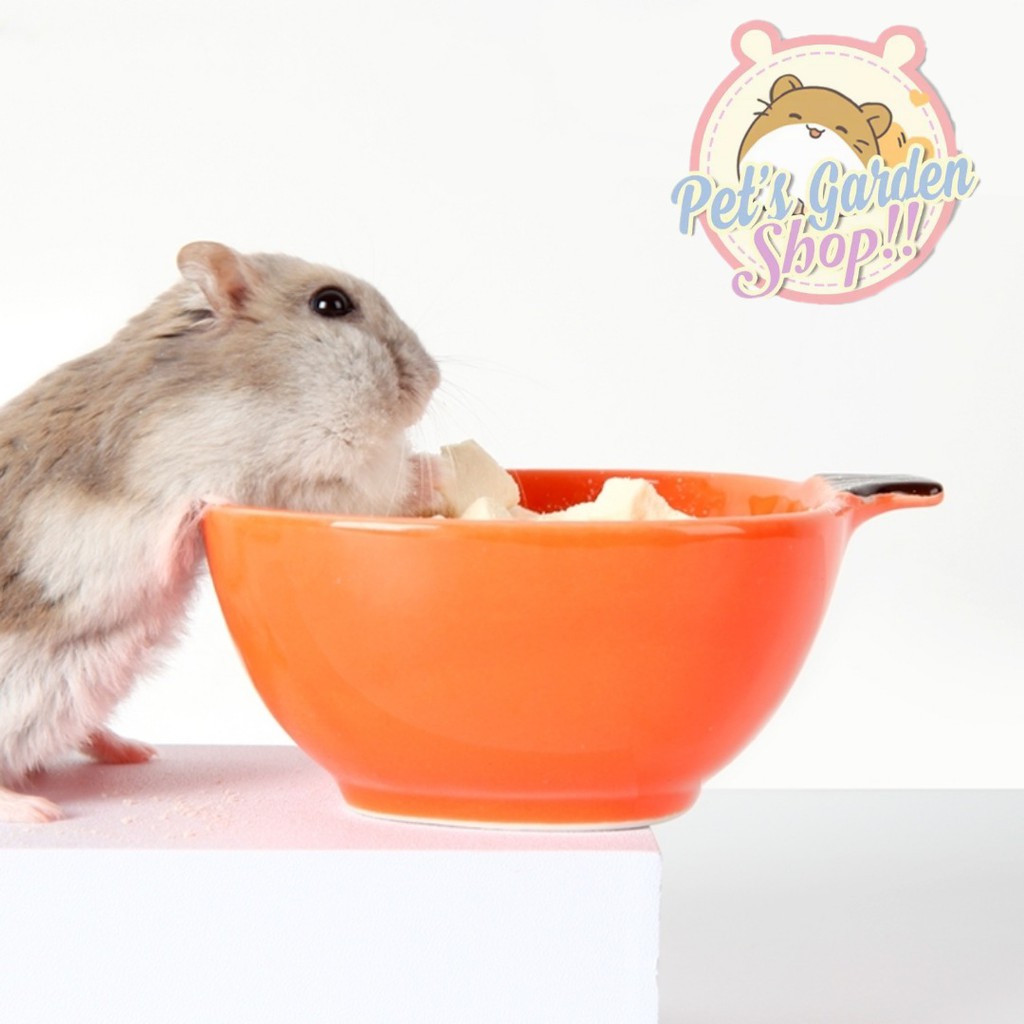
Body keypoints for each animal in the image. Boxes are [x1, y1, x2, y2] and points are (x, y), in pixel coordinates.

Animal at [0, 241, 440, 822]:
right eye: (331, 304)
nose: (433, 378)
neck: (261, 388)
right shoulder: (303, 477)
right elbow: (372, 490)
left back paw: (133, 751)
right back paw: (38, 810)